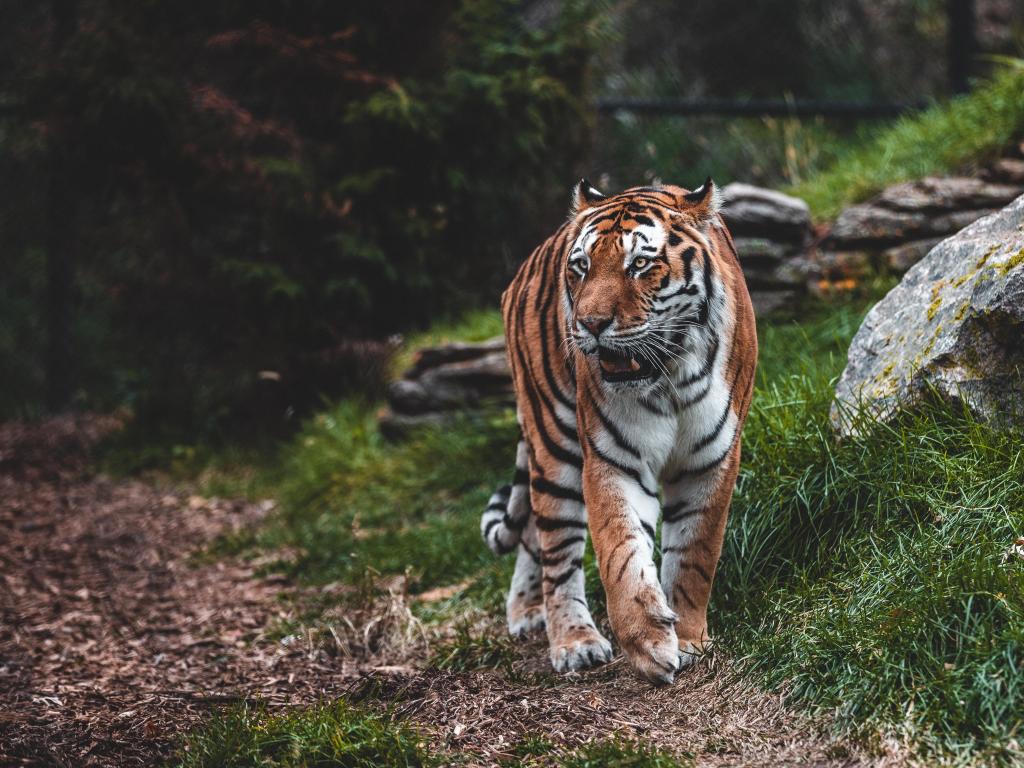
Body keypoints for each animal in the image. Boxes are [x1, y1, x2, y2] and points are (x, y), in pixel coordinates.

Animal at [477, 179, 753, 684]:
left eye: (639, 264)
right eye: (581, 267)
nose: (589, 324)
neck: (669, 376)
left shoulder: (711, 460)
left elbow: (694, 556)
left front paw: (688, 639)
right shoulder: (611, 459)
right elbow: (622, 554)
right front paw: (648, 644)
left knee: (532, 535)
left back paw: (529, 613)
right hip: (553, 444)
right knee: (555, 552)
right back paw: (571, 640)